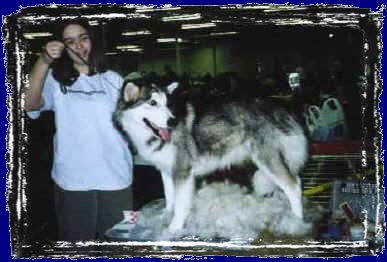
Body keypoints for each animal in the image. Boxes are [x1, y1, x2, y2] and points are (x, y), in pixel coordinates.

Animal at [113, 80, 310, 233]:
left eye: (167, 104)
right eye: (152, 103)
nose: (173, 121)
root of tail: (279, 107)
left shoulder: (182, 172)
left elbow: (180, 204)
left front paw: (175, 227)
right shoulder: (167, 170)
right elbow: (170, 197)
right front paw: (166, 214)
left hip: (266, 159)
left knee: (293, 186)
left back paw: (297, 220)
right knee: (296, 180)